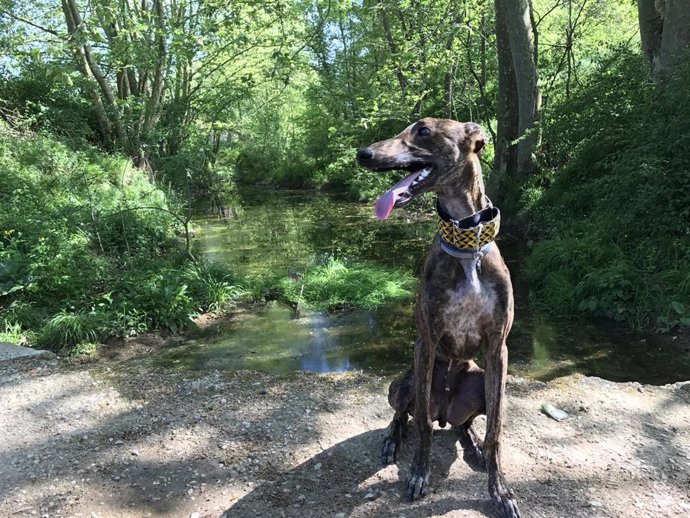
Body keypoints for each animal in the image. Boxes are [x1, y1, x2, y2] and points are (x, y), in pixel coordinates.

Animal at [358, 119, 520, 518]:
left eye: (423, 131)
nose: (362, 154)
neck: (467, 246)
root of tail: (446, 411)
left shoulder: (498, 349)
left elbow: (496, 429)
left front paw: (500, 490)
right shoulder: (427, 343)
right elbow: (422, 427)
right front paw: (418, 474)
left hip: (477, 378)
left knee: (465, 423)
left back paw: (471, 440)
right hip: (404, 381)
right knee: (408, 416)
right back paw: (393, 439)